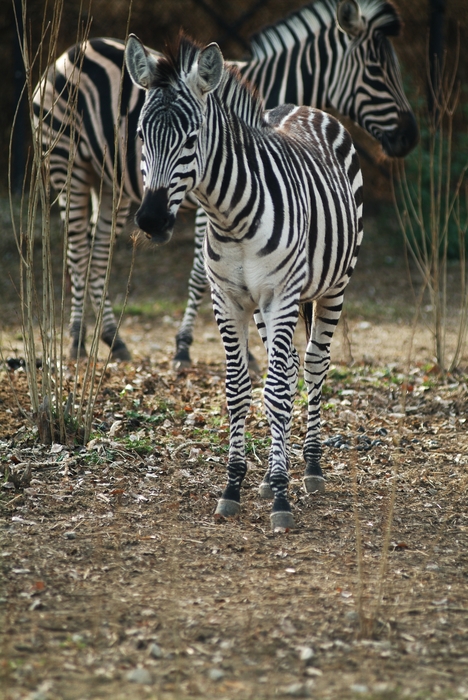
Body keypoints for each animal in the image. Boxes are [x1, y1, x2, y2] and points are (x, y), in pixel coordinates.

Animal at [33, 0, 416, 364]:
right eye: (377, 71)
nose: (409, 137)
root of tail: (72, 51)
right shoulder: (210, 204)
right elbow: (201, 273)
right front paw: (187, 347)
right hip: (68, 164)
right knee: (77, 250)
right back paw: (78, 340)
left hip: (111, 184)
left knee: (98, 253)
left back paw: (114, 338)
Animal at [126, 35, 364, 532]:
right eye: (140, 136)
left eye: (191, 138)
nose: (152, 220)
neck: (229, 217)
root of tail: (301, 106)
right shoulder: (227, 299)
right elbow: (239, 390)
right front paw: (235, 485)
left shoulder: (282, 294)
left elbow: (274, 391)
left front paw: (282, 498)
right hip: (266, 307)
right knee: (288, 368)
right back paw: (277, 473)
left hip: (332, 286)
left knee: (312, 364)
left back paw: (310, 467)